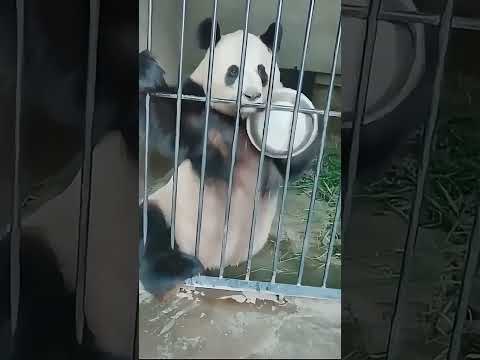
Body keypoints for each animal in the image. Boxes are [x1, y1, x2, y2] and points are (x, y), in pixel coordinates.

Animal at [138, 18, 318, 296]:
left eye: (262, 72)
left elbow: (290, 165)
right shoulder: (197, 109)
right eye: (233, 71)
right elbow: (167, 120)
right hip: (169, 210)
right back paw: (176, 269)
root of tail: (217, 265)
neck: (239, 119)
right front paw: (146, 70)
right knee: (150, 228)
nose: (252, 95)